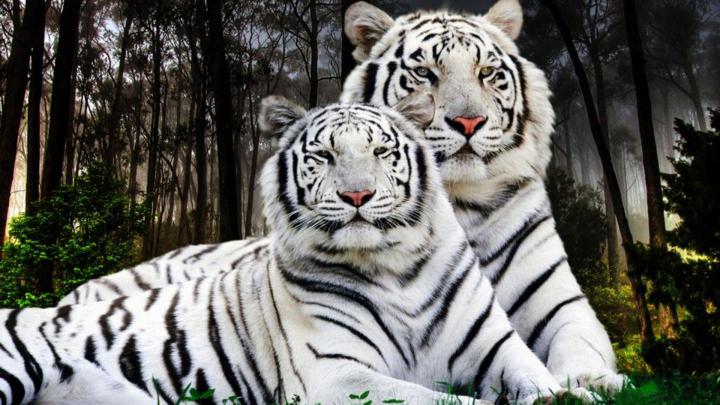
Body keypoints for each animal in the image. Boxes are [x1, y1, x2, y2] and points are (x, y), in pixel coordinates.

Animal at [1, 98, 577, 405]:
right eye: (324, 155)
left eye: (381, 151)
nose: (357, 196)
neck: (395, 268)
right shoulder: (337, 375)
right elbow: (442, 400)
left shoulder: (497, 348)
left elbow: (542, 382)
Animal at [60, 0, 625, 394]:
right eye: (425, 73)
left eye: (488, 73)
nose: (467, 122)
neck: (458, 204)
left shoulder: (558, 305)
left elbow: (579, 345)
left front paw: (593, 382)